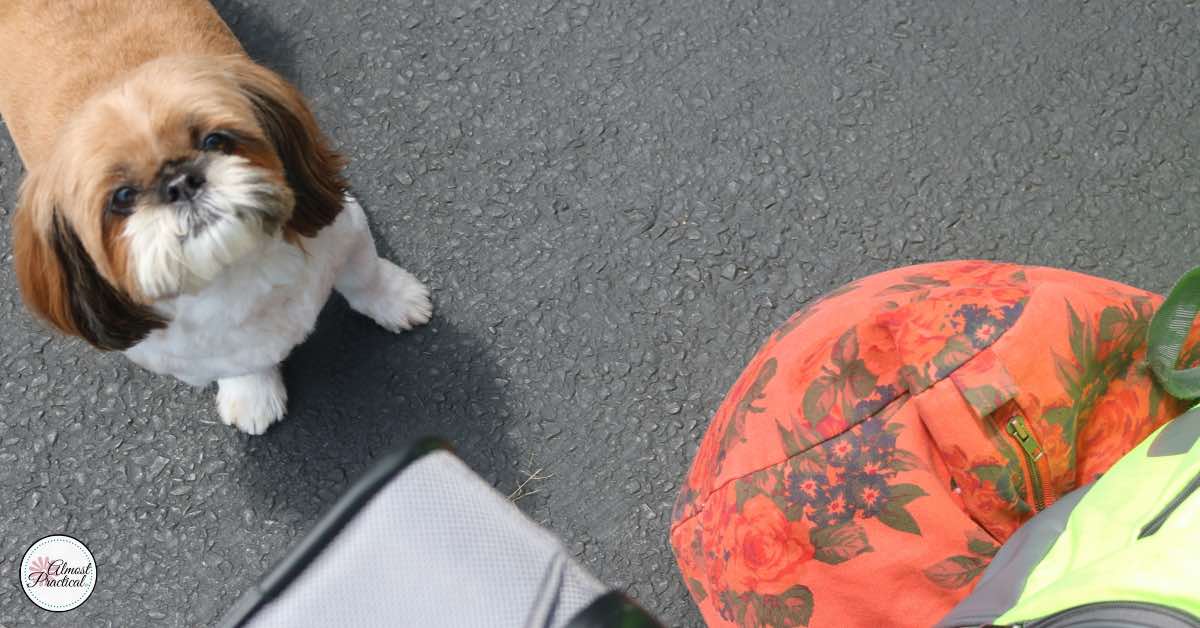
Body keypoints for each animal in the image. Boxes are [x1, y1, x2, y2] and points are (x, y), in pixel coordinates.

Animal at [0, 1, 432, 432]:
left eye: (215, 141)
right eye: (121, 197)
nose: (180, 182)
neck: (235, 269)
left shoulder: (343, 229)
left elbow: (365, 278)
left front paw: (398, 301)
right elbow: (243, 364)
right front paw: (253, 393)